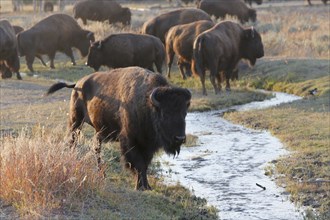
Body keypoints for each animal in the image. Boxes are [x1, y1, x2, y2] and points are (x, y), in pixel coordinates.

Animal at [46, 66, 191, 191]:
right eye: (165, 114)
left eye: (184, 113)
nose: (180, 138)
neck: (147, 102)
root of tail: (78, 84)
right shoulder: (130, 141)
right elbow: (138, 164)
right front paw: (140, 187)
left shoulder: (147, 146)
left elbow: (145, 164)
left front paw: (147, 186)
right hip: (76, 121)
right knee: (73, 142)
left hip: (99, 130)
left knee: (96, 147)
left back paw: (102, 174)